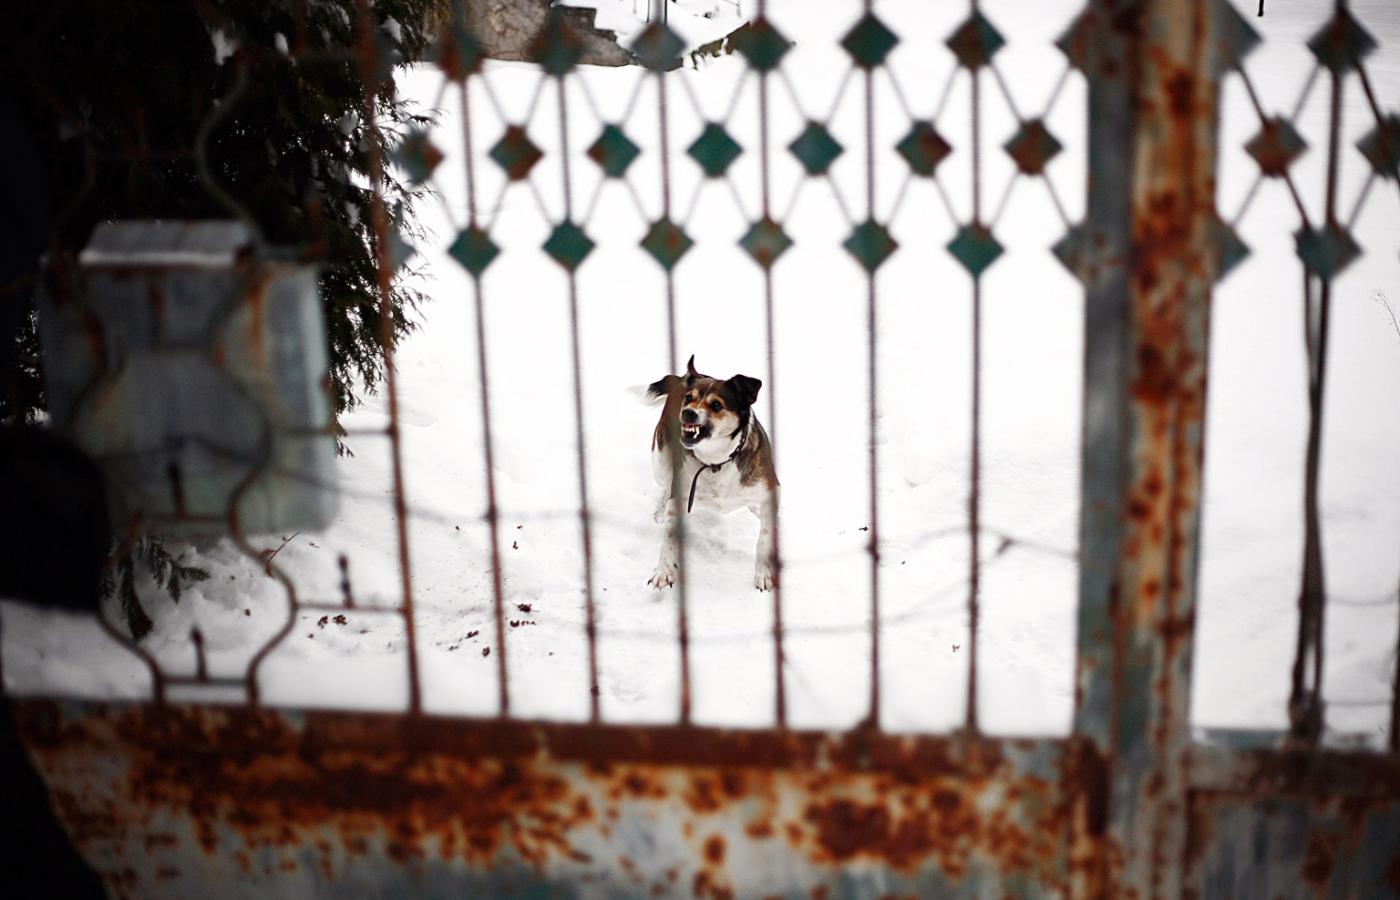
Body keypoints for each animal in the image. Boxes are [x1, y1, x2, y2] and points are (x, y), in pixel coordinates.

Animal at [645, 356, 779, 591]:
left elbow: (764, 537)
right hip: (660, 459)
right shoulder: (681, 493)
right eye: (688, 398)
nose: (688, 412)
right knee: (665, 486)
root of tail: (684, 376)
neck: (716, 461)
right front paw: (664, 570)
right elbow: (670, 536)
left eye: (716, 405)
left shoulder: (770, 490)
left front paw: (763, 574)